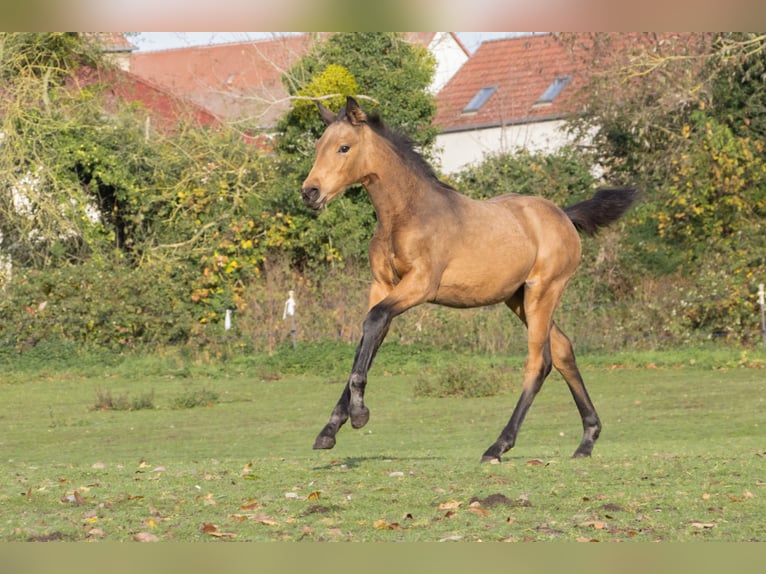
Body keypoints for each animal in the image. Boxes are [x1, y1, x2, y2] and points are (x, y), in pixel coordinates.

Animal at [301, 96, 637, 463]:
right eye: (317, 146)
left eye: (344, 147)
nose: (310, 192)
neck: (406, 215)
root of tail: (564, 215)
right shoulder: (382, 287)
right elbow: (367, 340)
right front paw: (330, 429)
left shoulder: (420, 285)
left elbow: (373, 323)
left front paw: (359, 414)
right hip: (518, 299)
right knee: (562, 350)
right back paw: (587, 439)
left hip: (543, 291)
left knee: (540, 361)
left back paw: (498, 445)